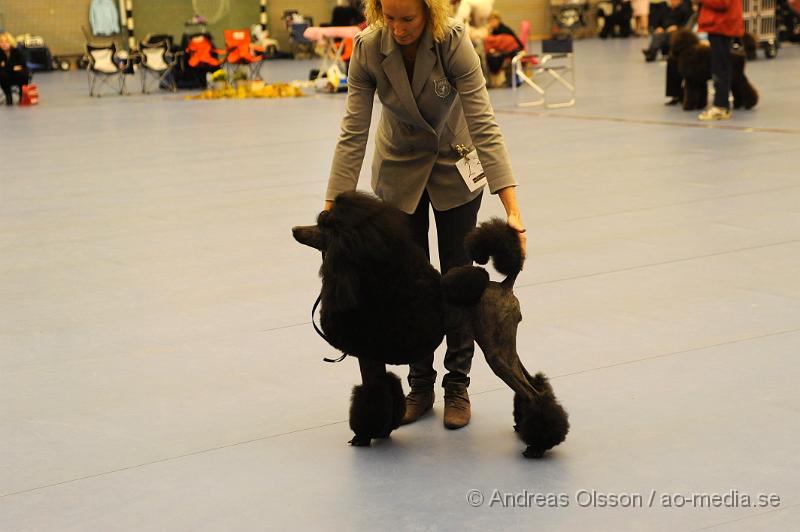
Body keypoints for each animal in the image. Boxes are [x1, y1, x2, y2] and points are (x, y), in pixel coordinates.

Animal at [294, 191, 568, 458]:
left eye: (323, 226)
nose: (295, 230)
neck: (372, 285)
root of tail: (505, 285)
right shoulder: (375, 358)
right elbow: (386, 388)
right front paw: (384, 430)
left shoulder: (368, 356)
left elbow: (372, 394)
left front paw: (363, 437)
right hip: (504, 345)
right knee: (533, 382)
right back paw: (525, 427)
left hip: (496, 353)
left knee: (532, 394)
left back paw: (537, 446)